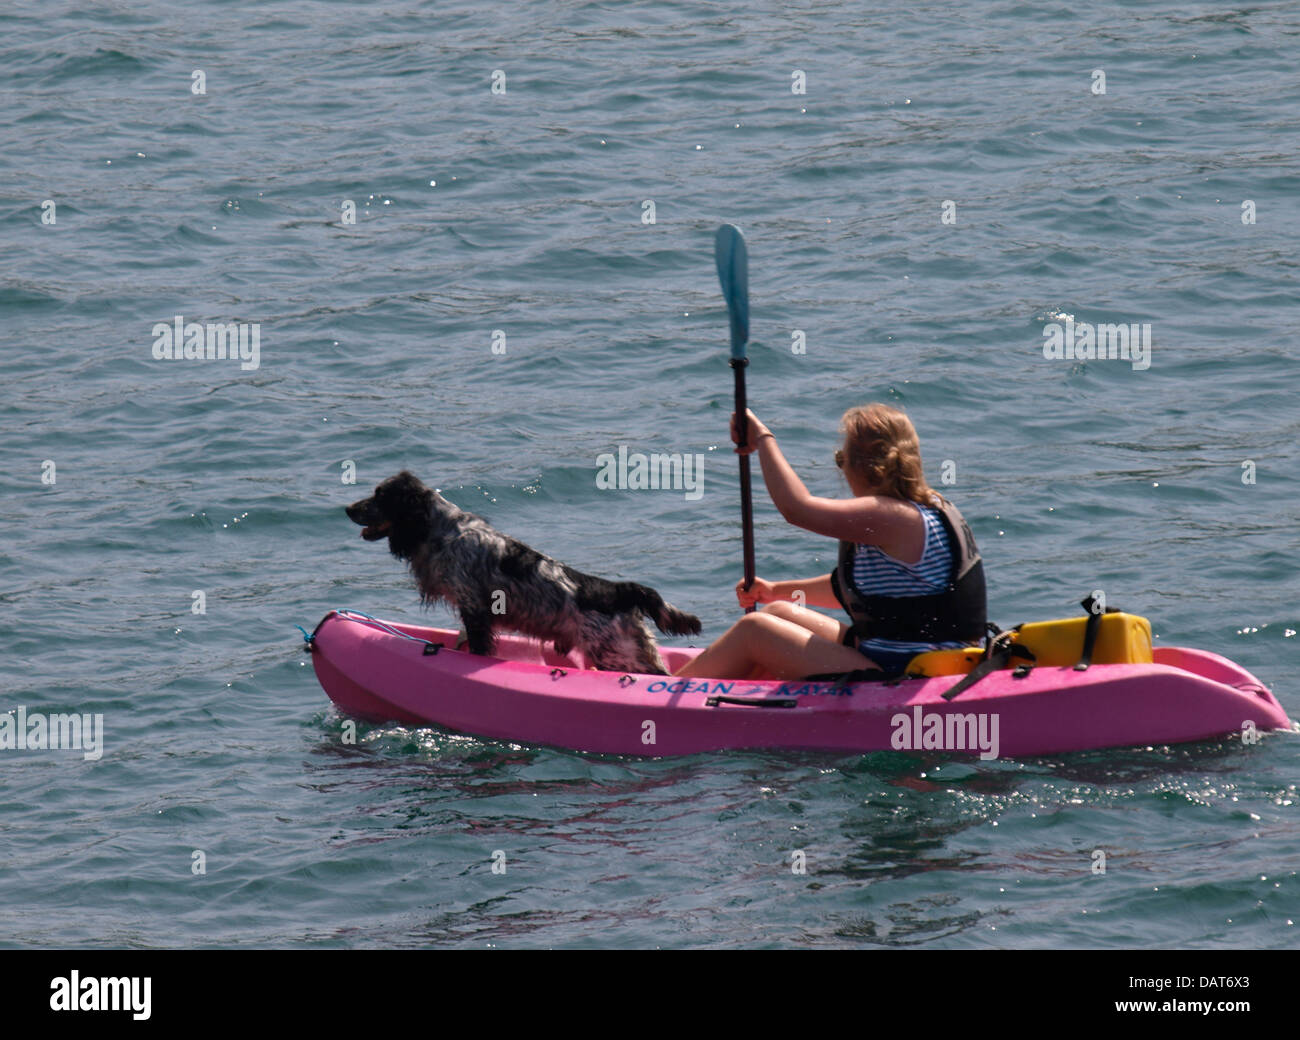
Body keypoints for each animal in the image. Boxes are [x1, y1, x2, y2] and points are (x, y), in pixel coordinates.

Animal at [345, 470, 702, 676]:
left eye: (380, 495)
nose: (347, 508)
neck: (443, 530)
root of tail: (621, 591)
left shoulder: (474, 608)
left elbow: (478, 646)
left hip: (617, 655)